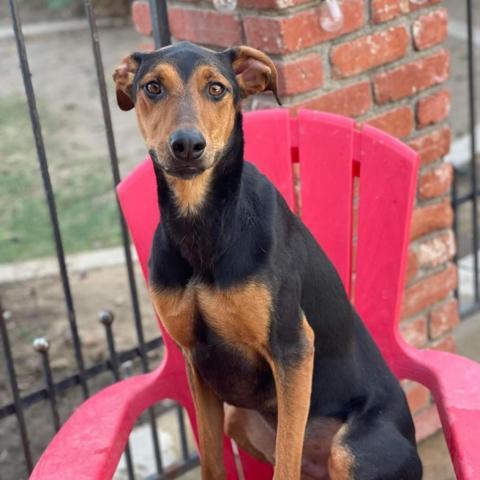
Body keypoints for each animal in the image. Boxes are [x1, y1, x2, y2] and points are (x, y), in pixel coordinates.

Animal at [114, 41, 422, 480]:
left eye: (217, 89)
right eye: (152, 87)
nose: (187, 145)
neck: (204, 222)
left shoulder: (292, 349)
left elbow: (285, 462)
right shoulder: (196, 361)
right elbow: (212, 461)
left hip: (352, 449)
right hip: (240, 418)